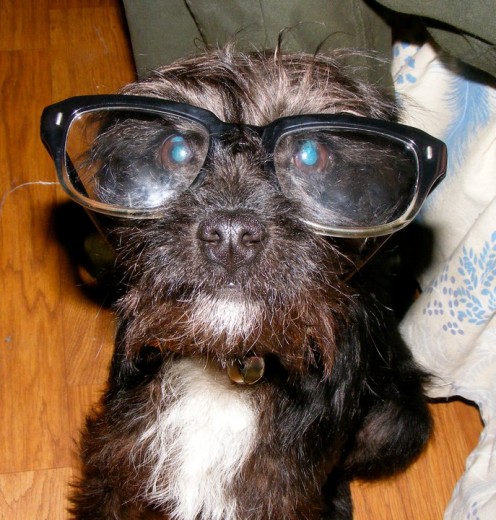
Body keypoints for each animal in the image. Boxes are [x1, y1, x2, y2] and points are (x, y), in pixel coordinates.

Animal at [41, 46, 446, 516]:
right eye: (176, 151)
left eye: (311, 155)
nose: (232, 236)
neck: (229, 365)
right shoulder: (113, 465)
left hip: (398, 423)